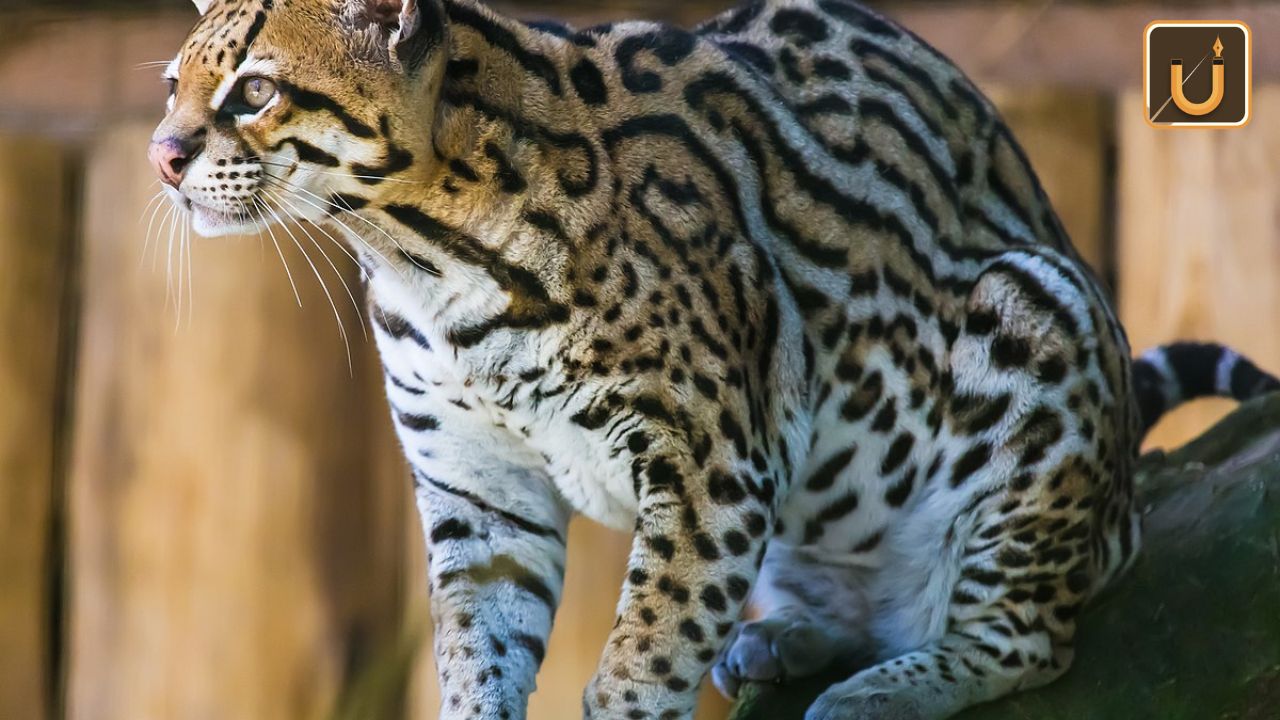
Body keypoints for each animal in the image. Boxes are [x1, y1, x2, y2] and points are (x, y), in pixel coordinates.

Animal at [147, 1, 1269, 717]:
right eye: (171, 86)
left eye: (254, 90)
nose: (160, 154)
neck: (422, 257)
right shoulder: (477, 489)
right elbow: (477, 656)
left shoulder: (711, 458)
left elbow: (644, 653)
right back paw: (793, 639)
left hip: (1034, 310)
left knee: (1027, 638)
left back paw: (886, 691)